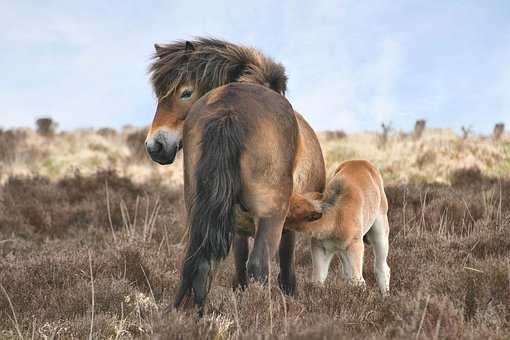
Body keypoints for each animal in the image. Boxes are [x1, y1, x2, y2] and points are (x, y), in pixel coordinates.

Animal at [145, 37, 324, 310]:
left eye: (185, 92)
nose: (155, 146)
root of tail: (228, 110)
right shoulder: (287, 223)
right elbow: (284, 264)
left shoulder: (236, 223)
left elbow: (238, 263)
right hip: (272, 215)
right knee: (259, 266)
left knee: (197, 259)